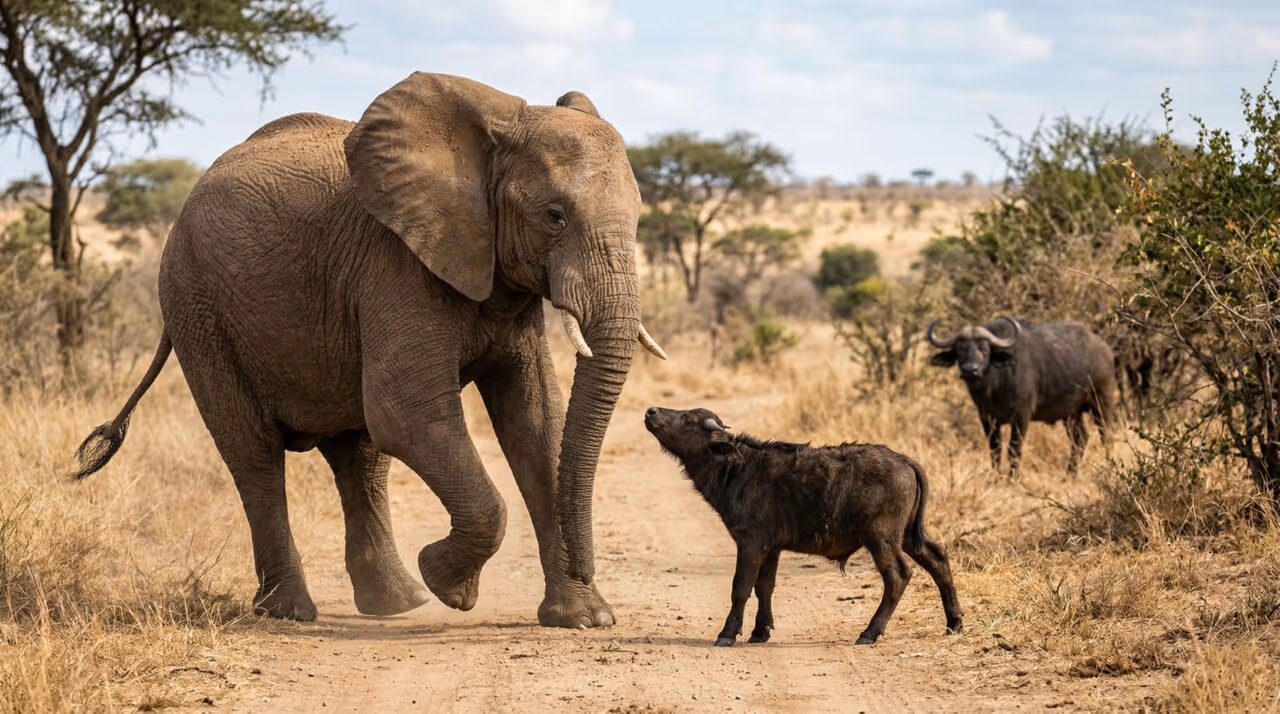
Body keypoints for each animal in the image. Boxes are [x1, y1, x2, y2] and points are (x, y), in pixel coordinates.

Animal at [72, 72, 666, 628]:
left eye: (640, 215)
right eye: (554, 216)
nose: (589, 566)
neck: (498, 128)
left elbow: (536, 422)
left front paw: (585, 619)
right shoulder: (396, 261)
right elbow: (406, 413)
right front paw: (450, 586)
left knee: (359, 456)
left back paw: (396, 604)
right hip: (196, 305)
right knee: (254, 454)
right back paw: (291, 611)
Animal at [643, 406, 963, 647]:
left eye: (687, 419)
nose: (651, 411)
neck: (738, 469)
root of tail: (905, 461)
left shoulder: (749, 542)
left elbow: (741, 587)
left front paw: (728, 633)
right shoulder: (770, 548)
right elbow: (765, 587)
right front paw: (760, 631)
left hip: (881, 537)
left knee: (898, 575)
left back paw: (870, 632)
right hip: (908, 534)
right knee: (937, 557)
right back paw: (954, 622)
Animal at [926, 317, 1118, 475]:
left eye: (984, 349)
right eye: (960, 350)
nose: (970, 370)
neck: (994, 386)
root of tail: (1105, 349)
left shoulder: (1021, 415)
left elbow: (1014, 448)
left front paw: (1013, 477)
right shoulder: (986, 417)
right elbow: (995, 449)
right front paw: (996, 477)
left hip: (1102, 401)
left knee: (1106, 435)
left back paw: (1109, 467)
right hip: (1071, 413)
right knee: (1080, 439)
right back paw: (1069, 474)